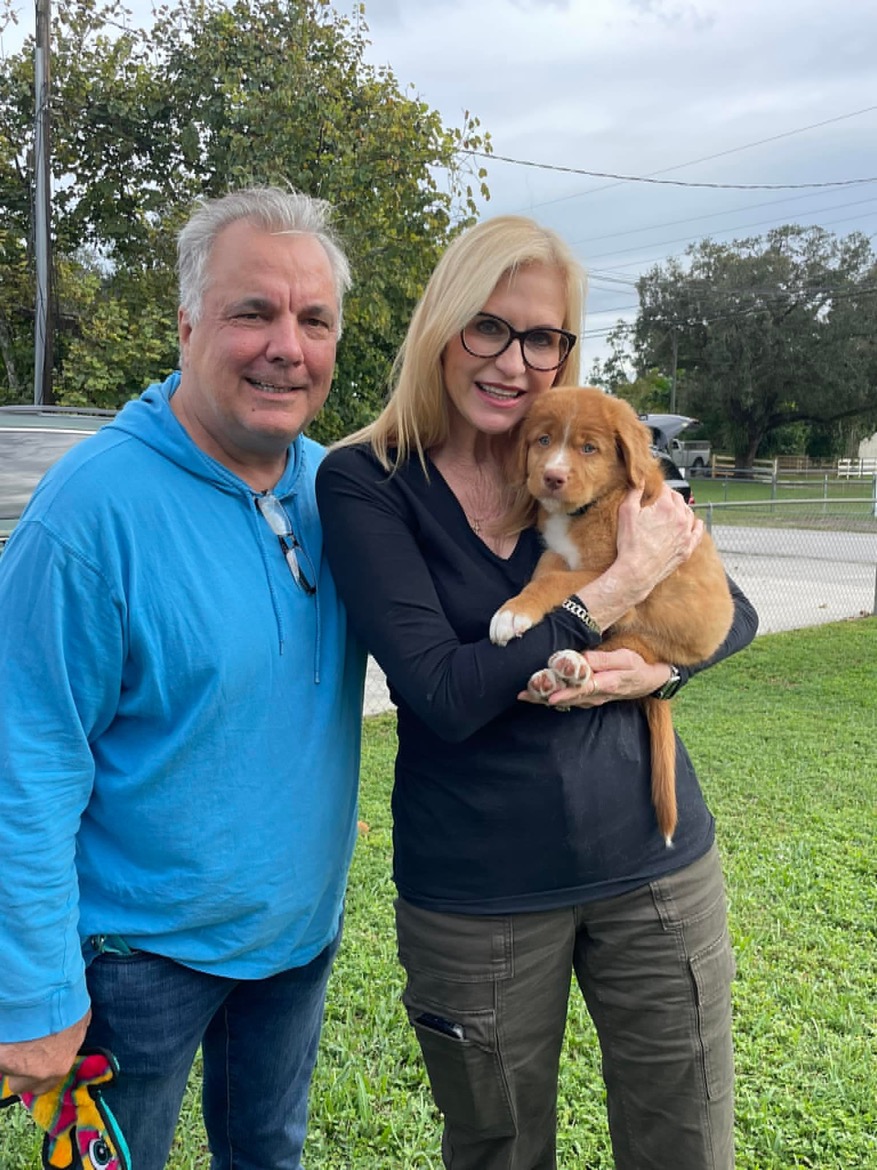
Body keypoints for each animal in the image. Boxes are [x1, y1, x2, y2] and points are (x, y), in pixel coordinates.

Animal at [495, 388, 734, 847]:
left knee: (605, 651)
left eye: (589, 448)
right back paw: (551, 676)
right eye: (543, 440)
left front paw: (511, 613)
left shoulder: (613, 572)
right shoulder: (560, 553)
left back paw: (572, 666)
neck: (591, 507)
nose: (552, 477)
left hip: (641, 636)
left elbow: (553, 583)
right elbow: (547, 570)